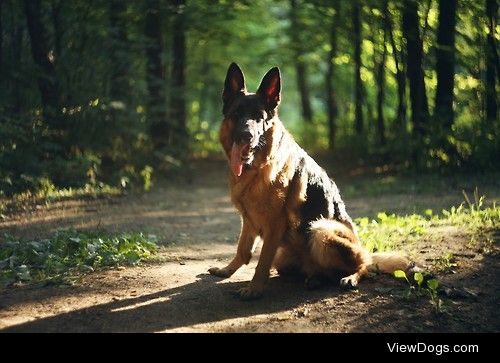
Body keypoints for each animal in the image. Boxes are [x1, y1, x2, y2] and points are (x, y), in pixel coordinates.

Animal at [209, 63, 408, 302]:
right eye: (236, 114)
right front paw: (227, 270)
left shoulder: (274, 225)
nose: (246, 136)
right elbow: (243, 250)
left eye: (259, 117)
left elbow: (262, 262)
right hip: (284, 257)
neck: (257, 169)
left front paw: (255, 288)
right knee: (316, 270)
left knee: (364, 266)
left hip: (321, 230)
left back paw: (349, 277)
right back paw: (315, 278)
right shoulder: (248, 220)